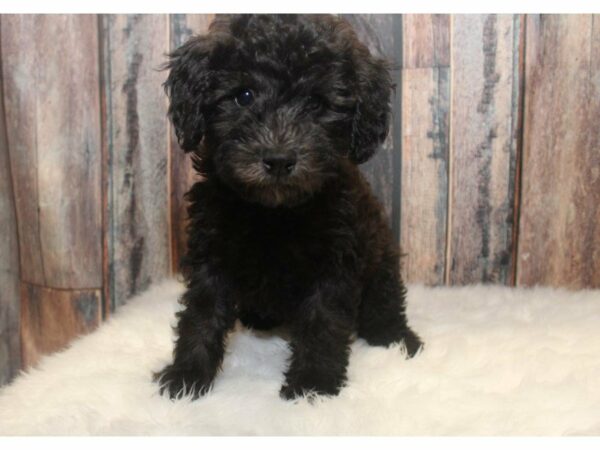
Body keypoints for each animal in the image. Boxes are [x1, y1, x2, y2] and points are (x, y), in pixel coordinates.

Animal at [155, 14, 422, 400]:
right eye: (244, 96)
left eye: (316, 104)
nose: (279, 159)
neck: (274, 213)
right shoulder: (211, 253)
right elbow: (201, 313)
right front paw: (186, 376)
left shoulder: (336, 261)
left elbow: (323, 322)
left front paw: (313, 387)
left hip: (380, 259)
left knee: (384, 302)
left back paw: (399, 340)